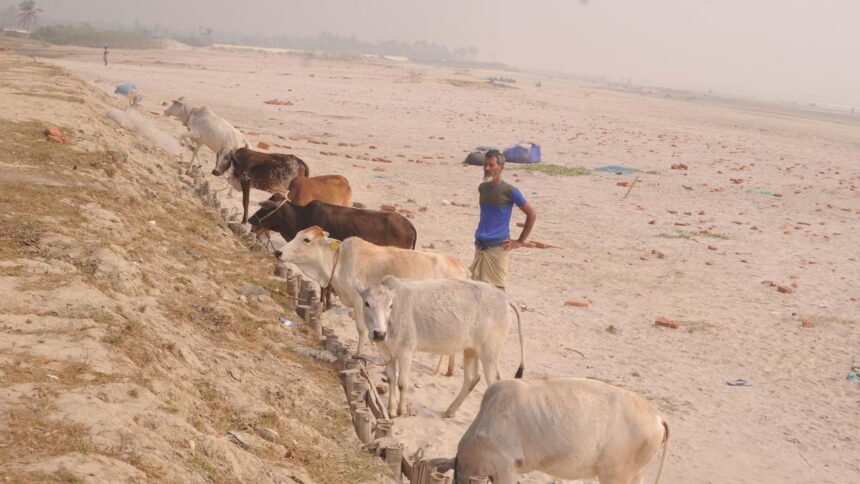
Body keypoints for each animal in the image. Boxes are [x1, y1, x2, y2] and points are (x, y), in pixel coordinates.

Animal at [278, 227, 470, 370]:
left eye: (307, 240)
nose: (278, 252)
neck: (338, 261)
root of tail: (461, 267)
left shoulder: (359, 300)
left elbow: (361, 329)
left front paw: (358, 355)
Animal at [356, 276, 524, 416]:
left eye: (390, 306)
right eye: (367, 303)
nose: (379, 334)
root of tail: (502, 296)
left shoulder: (406, 351)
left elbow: (402, 383)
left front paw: (401, 411)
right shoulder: (386, 352)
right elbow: (391, 379)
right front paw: (391, 409)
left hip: (489, 353)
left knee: (494, 382)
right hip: (471, 350)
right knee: (472, 378)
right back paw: (450, 411)